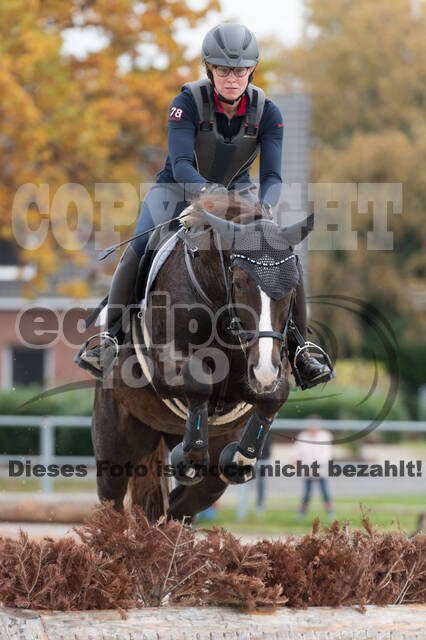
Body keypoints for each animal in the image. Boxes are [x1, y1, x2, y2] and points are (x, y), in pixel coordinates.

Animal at [91, 192, 312, 524]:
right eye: (239, 282)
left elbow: (274, 396)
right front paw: (190, 457)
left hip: (207, 483)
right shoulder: (166, 366)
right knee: (113, 504)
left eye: (292, 287)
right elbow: (198, 382)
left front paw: (241, 459)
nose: (263, 372)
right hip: (114, 448)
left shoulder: (263, 372)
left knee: (177, 510)